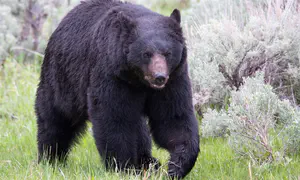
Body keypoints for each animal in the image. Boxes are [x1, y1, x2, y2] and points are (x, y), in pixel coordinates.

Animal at [35, 0, 199, 178]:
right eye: (146, 53)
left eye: (167, 53)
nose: (159, 76)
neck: (139, 81)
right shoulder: (112, 75)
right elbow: (114, 117)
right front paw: (123, 167)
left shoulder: (174, 80)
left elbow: (173, 118)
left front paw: (177, 166)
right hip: (63, 78)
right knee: (55, 117)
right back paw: (50, 158)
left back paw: (148, 162)